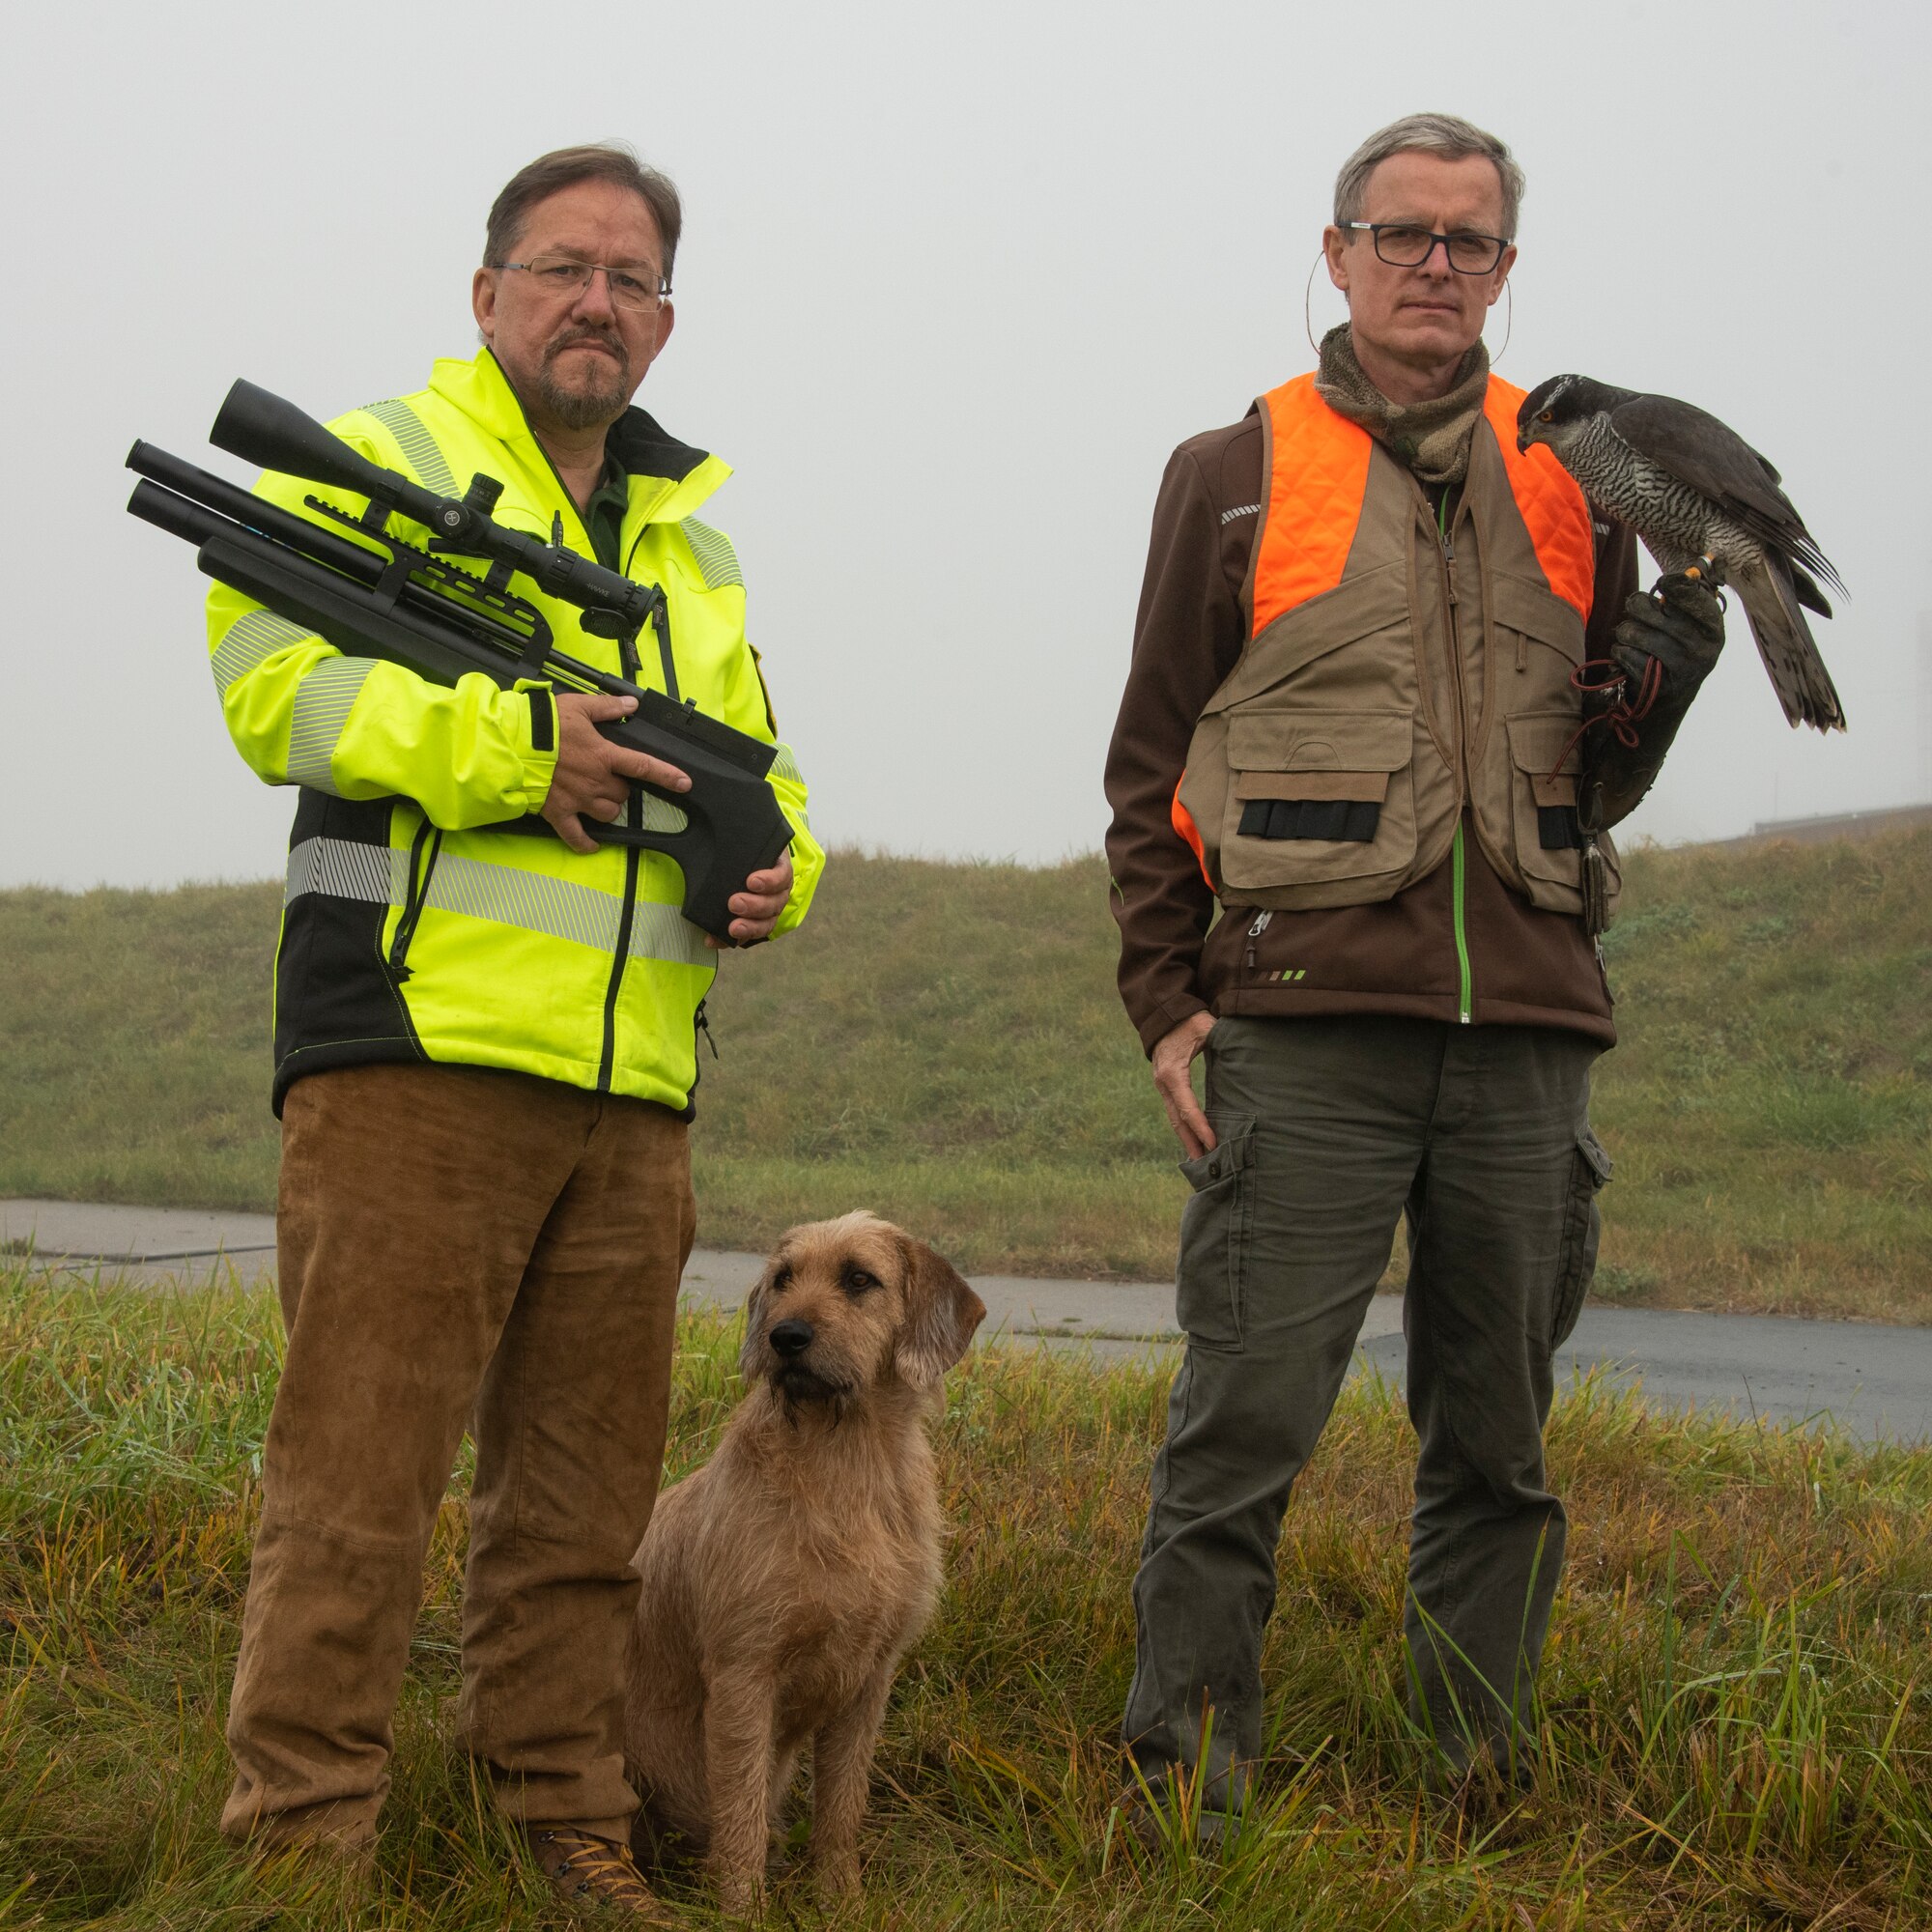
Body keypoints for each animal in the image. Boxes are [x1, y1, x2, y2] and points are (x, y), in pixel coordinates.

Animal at [622, 1213, 981, 1909]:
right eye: (784, 1278)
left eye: (859, 1279)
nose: (784, 1335)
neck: (844, 1463)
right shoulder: (744, 1674)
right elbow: (741, 1809)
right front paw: (740, 1909)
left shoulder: (870, 1679)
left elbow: (841, 1804)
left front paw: (841, 1898)